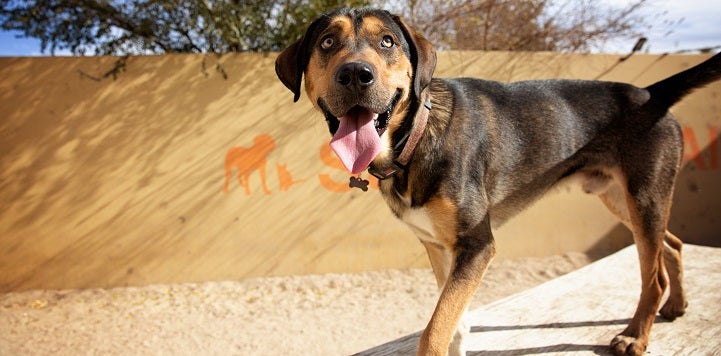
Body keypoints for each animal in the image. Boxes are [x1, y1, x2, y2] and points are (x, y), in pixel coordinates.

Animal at [274, 6, 720, 354]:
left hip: (643, 198)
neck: (414, 140)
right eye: (327, 43)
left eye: (386, 42)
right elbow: (450, 317)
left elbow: (434, 330)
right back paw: (676, 306)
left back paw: (635, 336)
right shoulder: (439, 245)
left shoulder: (477, 245)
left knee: (654, 275)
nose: (355, 74)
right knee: (672, 245)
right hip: (620, 198)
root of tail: (651, 94)